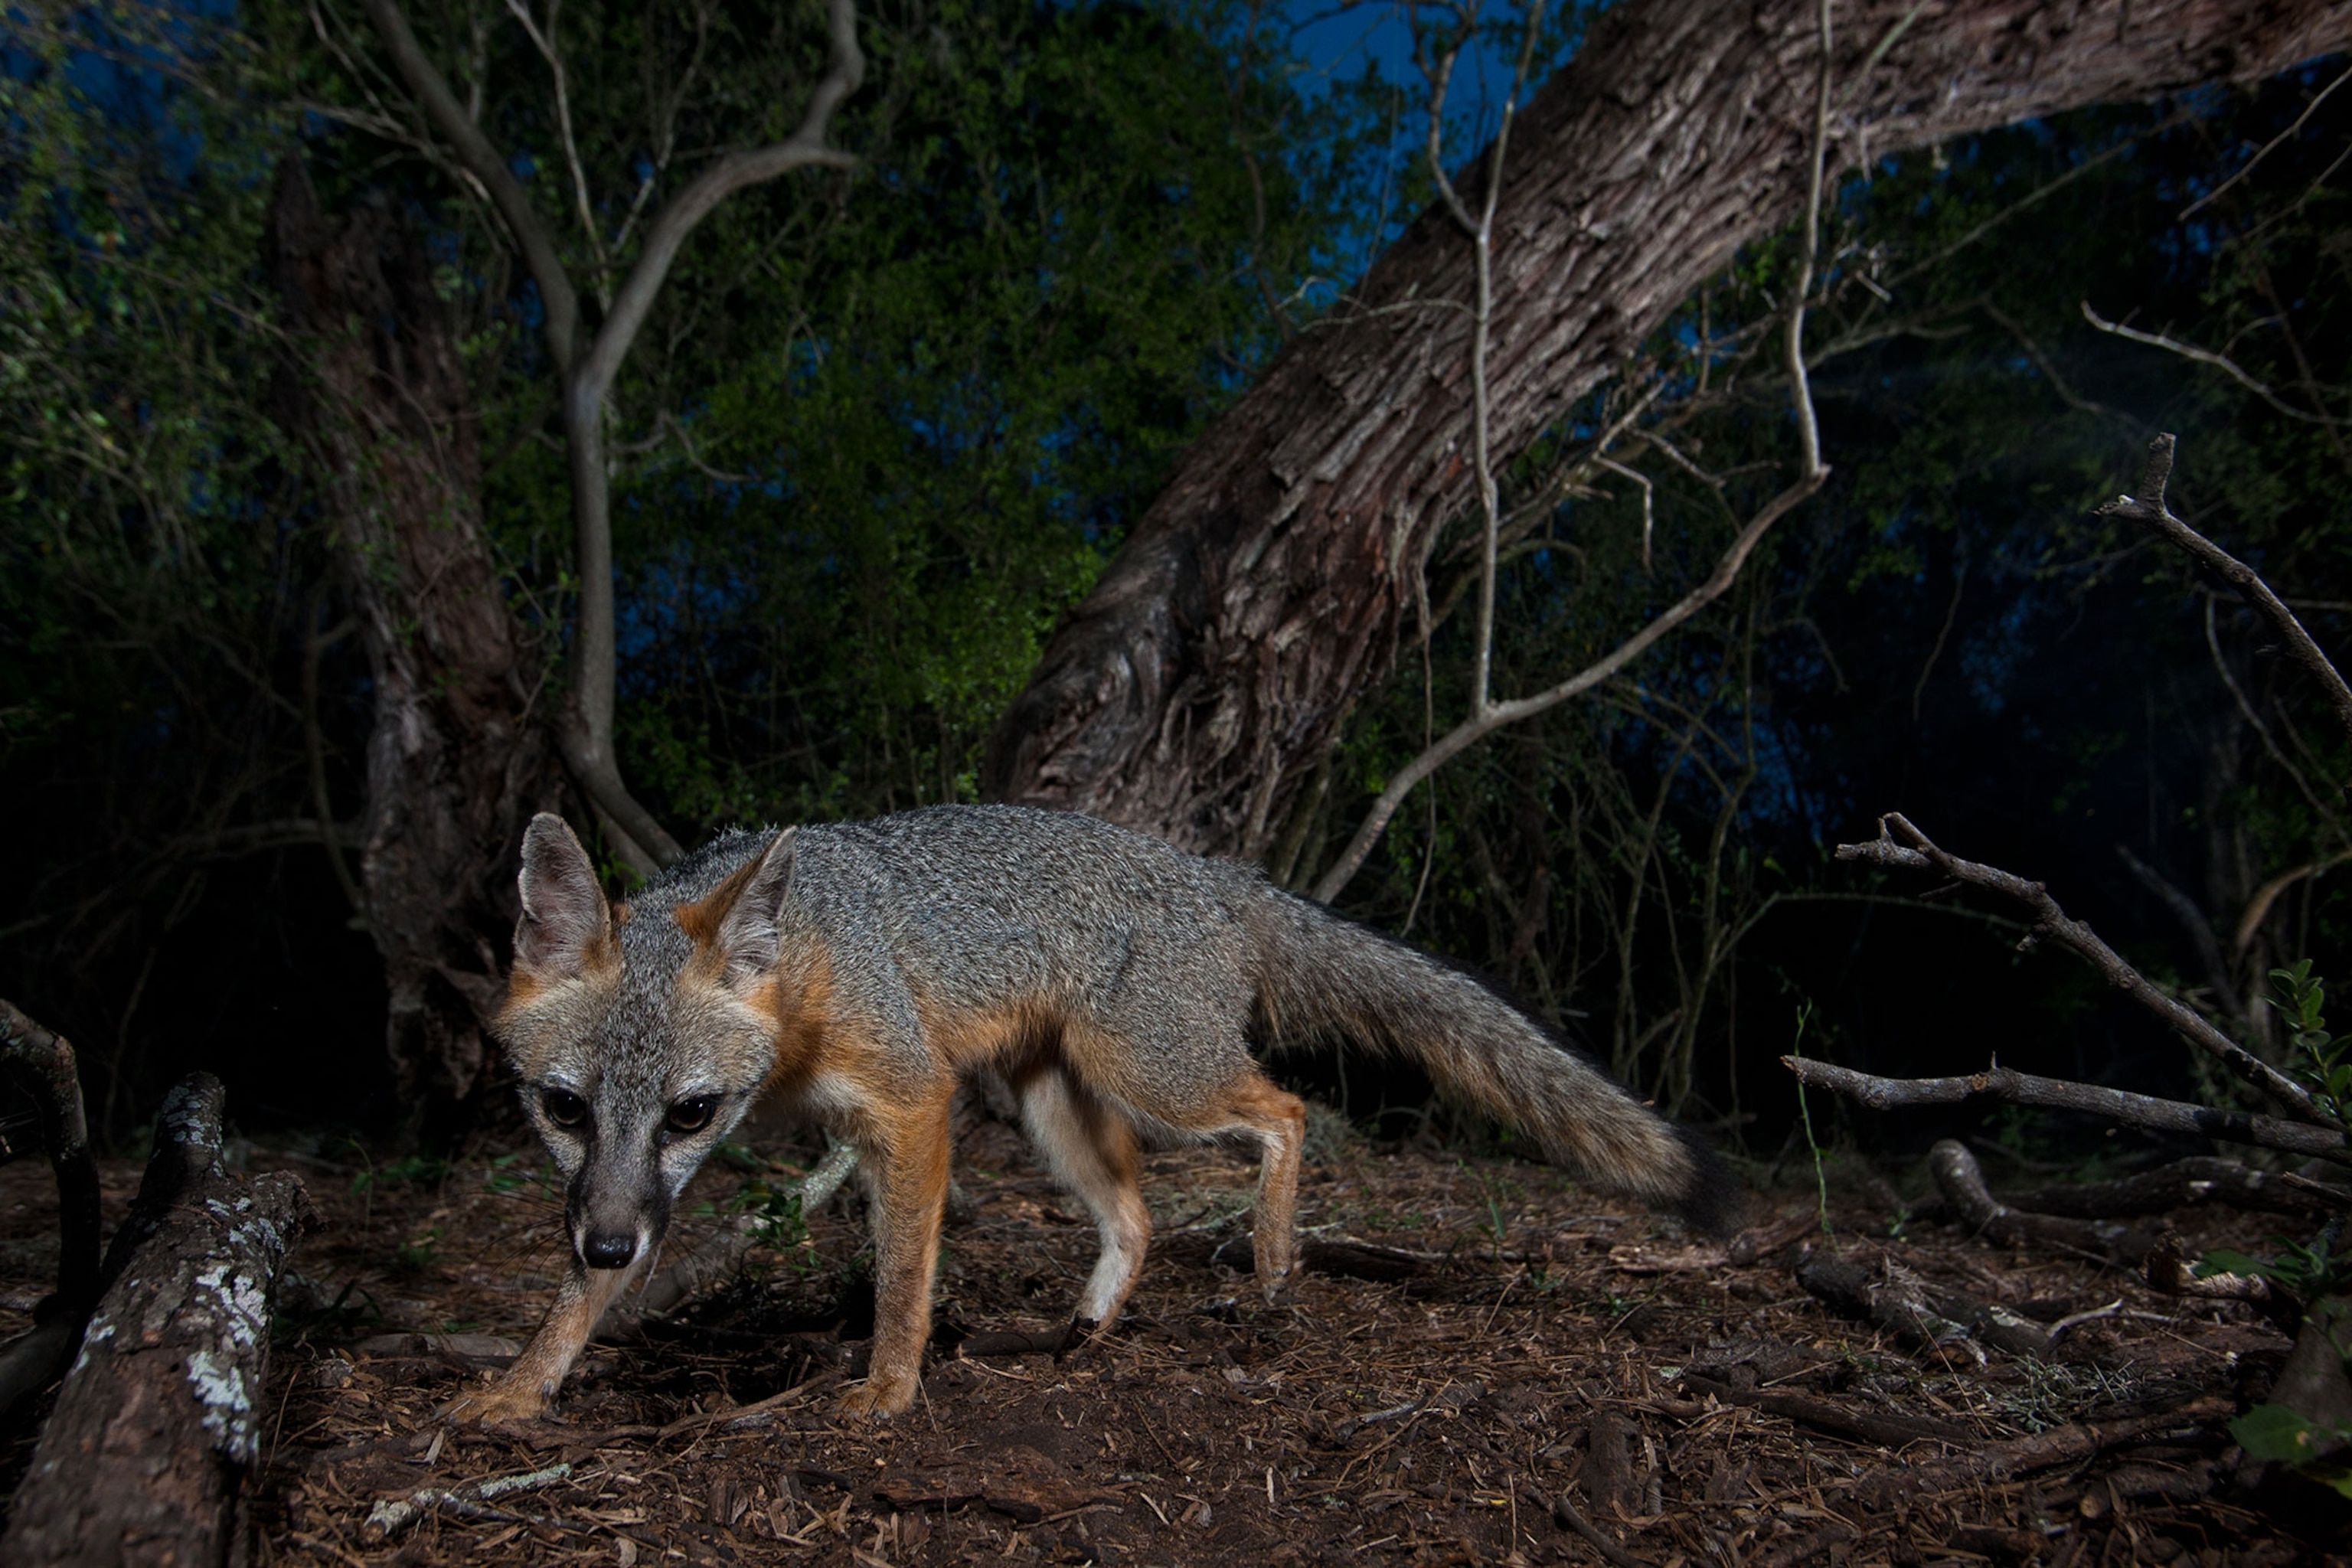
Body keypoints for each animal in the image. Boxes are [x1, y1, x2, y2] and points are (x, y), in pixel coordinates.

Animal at [449, 804, 1740, 1429]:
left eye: (690, 1110)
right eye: (561, 1107)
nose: (606, 1240)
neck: (806, 967)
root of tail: (1217, 876)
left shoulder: (912, 1104)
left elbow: (904, 1278)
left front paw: (888, 1391)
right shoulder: (629, 1191)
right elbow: (584, 1299)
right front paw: (520, 1388)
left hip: (1151, 1076)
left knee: (1286, 1109)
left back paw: (1273, 1255)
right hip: (1053, 1108)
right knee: (1139, 1219)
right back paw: (1090, 1327)